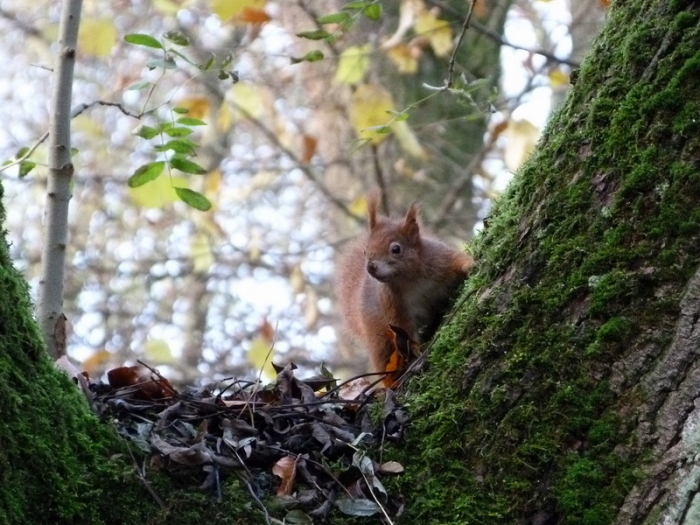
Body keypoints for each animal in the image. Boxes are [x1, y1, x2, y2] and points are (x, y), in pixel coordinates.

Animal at [335, 193, 475, 374]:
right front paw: (414, 348)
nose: (370, 267)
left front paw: (471, 264)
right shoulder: (392, 303)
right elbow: (402, 325)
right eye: (365, 251)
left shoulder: (441, 258)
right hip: (378, 338)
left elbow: (458, 259)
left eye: (396, 249)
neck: (410, 279)